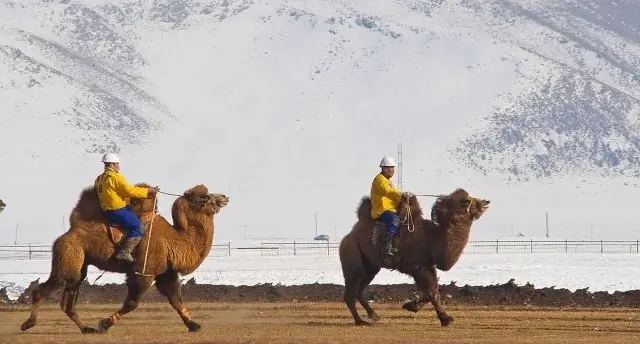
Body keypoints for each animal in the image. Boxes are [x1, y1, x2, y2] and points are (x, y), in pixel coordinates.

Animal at [19, 183, 230, 334]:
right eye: (204, 196)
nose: (225, 197)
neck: (174, 239)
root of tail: (67, 234)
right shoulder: (144, 271)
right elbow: (132, 303)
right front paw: (104, 323)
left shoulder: (165, 272)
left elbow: (175, 298)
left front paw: (194, 324)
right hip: (69, 257)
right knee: (45, 289)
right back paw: (28, 323)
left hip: (80, 265)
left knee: (68, 300)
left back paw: (87, 329)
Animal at [340, 189, 490, 326]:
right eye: (468, 201)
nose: (486, 201)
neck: (433, 239)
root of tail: (347, 237)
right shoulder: (418, 266)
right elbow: (432, 292)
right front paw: (446, 320)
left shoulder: (428, 264)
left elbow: (432, 290)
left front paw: (410, 306)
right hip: (352, 258)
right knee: (351, 291)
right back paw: (360, 321)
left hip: (371, 266)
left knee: (359, 290)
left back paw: (374, 315)